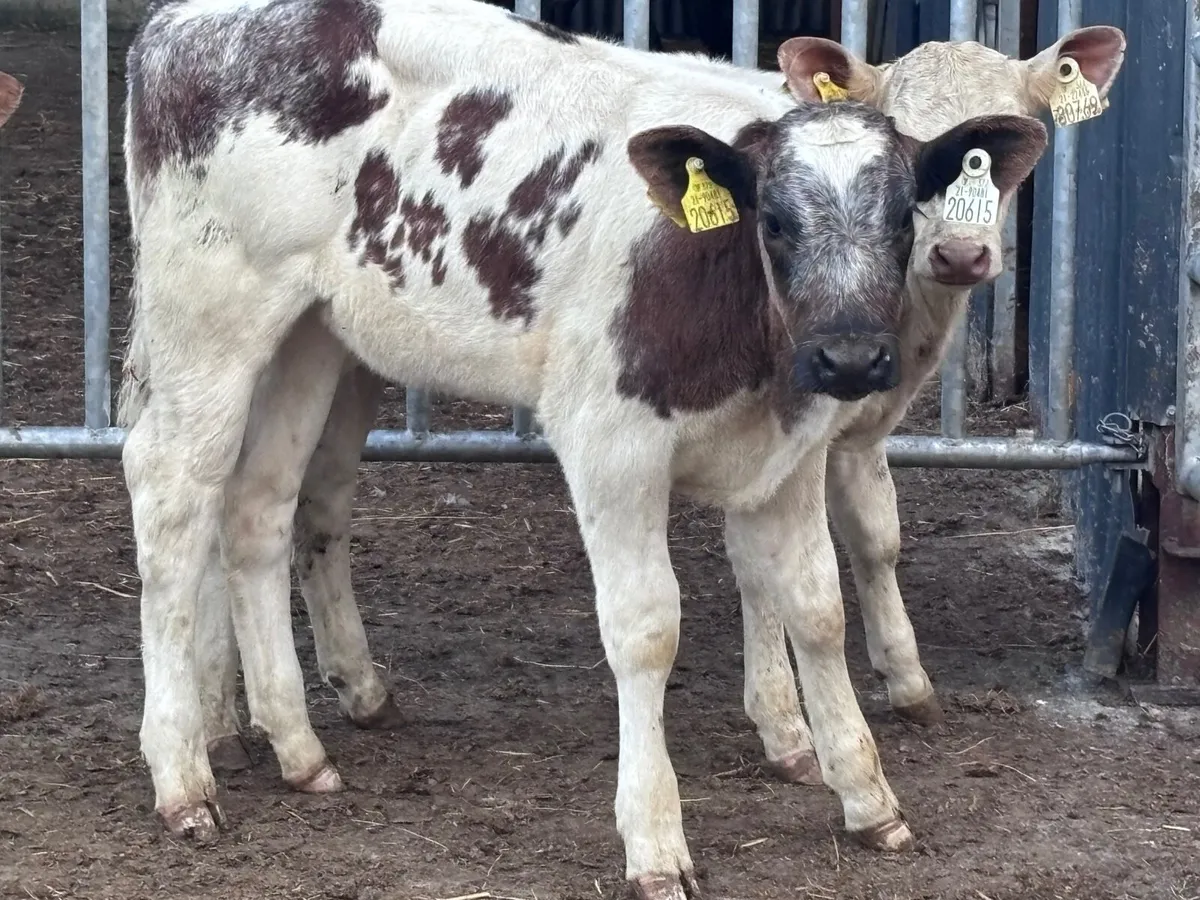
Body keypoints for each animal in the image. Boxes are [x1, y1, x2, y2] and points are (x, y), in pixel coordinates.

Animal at [117, 0, 1048, 894]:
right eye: (776, 221)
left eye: (900, 218)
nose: (851, 358)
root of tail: (183, 21)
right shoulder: (612, 444)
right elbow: (646, 631)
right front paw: (656, 841)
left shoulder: (791, 453)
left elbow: (816, 608)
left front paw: (865, 795)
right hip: (212, 316)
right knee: (172, 497)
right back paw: (182, 775)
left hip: (310, 335)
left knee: (258, 508)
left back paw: (298, 748)